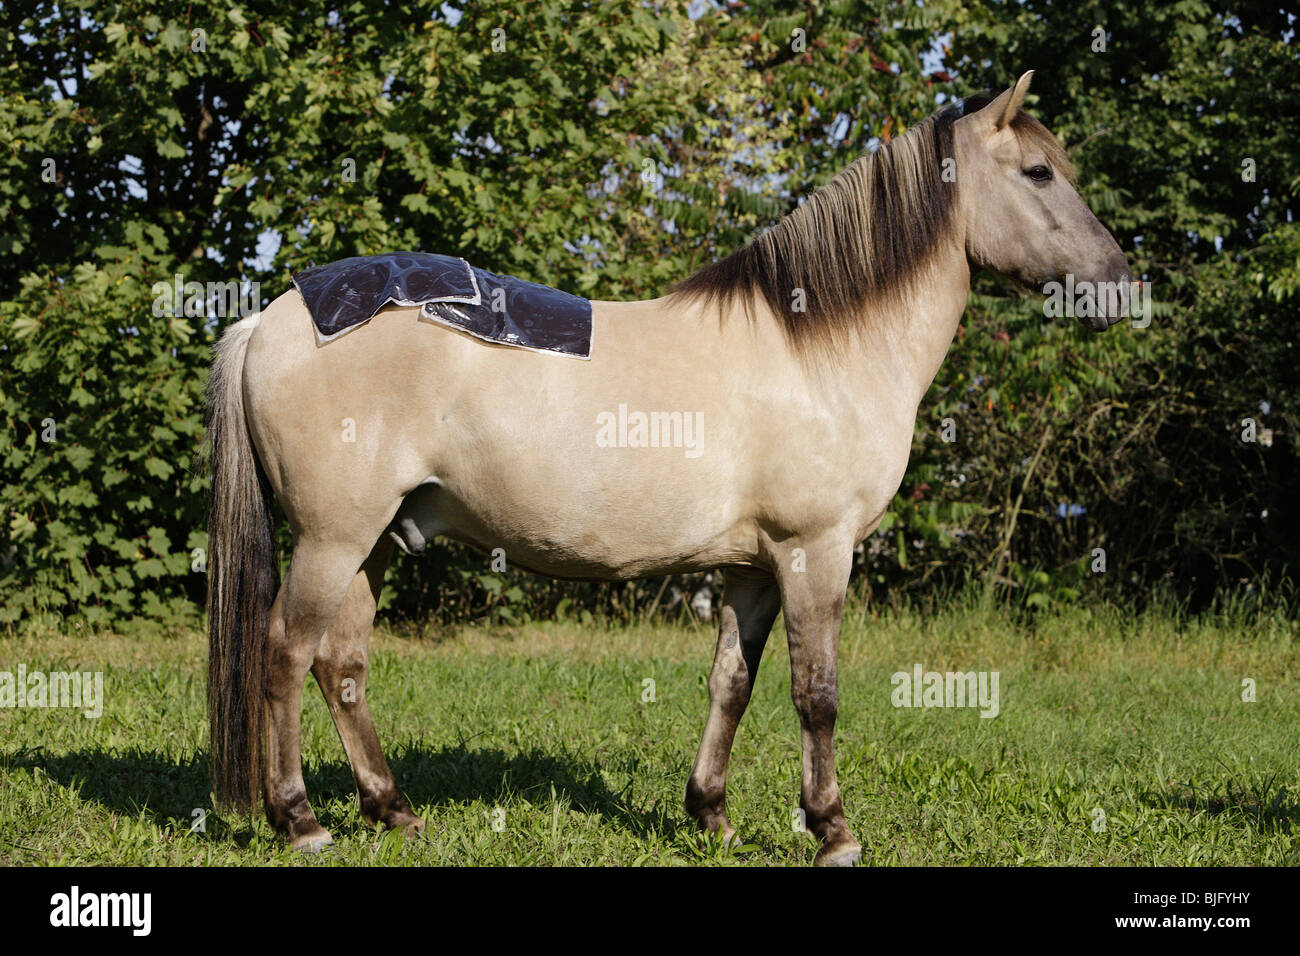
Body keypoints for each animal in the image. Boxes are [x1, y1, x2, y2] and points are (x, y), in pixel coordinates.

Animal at [202, 72, 1128, 868]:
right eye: (1038, 171)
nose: (1119, 282)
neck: (816, 347)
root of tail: (270, 319)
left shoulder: (753, 567)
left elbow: (732, 684)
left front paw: (711, 815)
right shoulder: (815, 551)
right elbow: (816, 692)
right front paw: (831, 829)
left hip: (377, 541)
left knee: (341, 665)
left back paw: (392, 810)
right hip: (334, 538)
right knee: (287, 652)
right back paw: (300, 820)